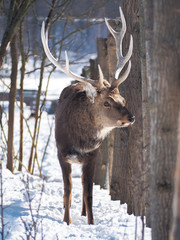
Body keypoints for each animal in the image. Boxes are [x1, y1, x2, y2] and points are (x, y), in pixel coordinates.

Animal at [40, 7, 134, 225]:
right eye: (106, 102)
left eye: (123, 99)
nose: (131, 118)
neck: (80, 142)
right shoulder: (61, 153)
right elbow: (68, 189)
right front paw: (67, 221)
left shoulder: (93, 156)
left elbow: (89, 193)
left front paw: (91, 222)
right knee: (72, 188)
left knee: (84, 187)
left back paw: (83, 213)